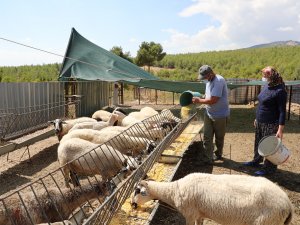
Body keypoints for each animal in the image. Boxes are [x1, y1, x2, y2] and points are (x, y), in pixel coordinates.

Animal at [131, 173, 292, 224]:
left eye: (137, 191)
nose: (132, 205)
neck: (174, 190)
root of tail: (288, 203)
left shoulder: (190, 214)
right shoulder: (199, 214)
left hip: (266, 221)